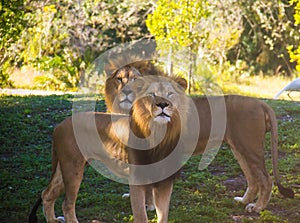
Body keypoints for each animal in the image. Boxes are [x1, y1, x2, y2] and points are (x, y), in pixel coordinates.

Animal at [28, 75, 188, 223]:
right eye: (152, 94)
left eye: (170, 93)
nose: (163, 104)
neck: (159, 133)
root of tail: (59, 125)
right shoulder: (136, 179)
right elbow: (141, 216)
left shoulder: (164, 181)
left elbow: (163, 215)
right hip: (72, 168)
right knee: (67, 204)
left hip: (63, 169)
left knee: (47, 193)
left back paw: (53, 219)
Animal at [103, 61, 292, 213]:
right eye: (119, 79)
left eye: (136, 80)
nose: (127, 92)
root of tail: (260, 103)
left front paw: (148, 206)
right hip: (239, 148)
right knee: (252, 179)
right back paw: (243, 201)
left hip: (250, 147)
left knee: (266, 180)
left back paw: (257, 208)